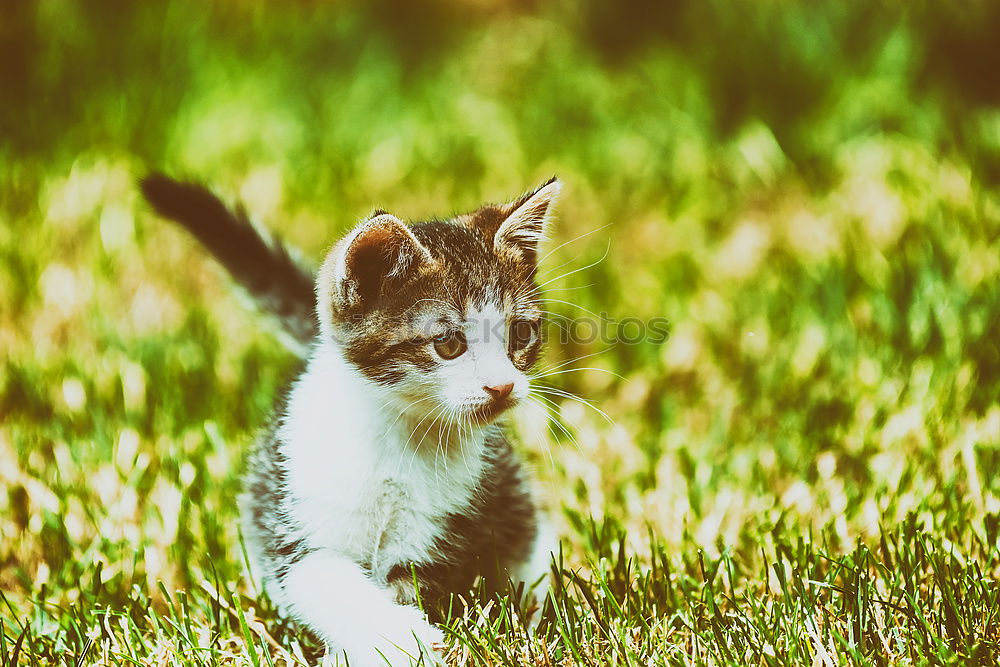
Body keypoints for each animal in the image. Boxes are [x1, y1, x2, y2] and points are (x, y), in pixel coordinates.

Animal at [140, 177, 564, 667]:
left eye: (520, 334)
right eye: (448, 343)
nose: (502, 386)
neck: (398, 435)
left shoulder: (448, 527)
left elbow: (417, 582)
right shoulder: (297, 513)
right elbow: (321, 580)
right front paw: (396, 638)